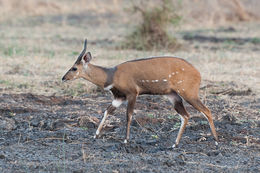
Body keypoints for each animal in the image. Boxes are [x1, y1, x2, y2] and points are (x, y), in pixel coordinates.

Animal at [62, 39, 218, 147]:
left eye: (74, 68)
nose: (63, 78)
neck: (111, 75)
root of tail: (198, 73)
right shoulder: (118, 97)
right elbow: (107, 111)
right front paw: (95, 135)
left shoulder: (132, 93)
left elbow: (129, 115)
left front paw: (125, 140)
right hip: (173, 96)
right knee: (185, 116)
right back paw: (174, 144)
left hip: (189, 93)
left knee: (207, 111)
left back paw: (216, 141)